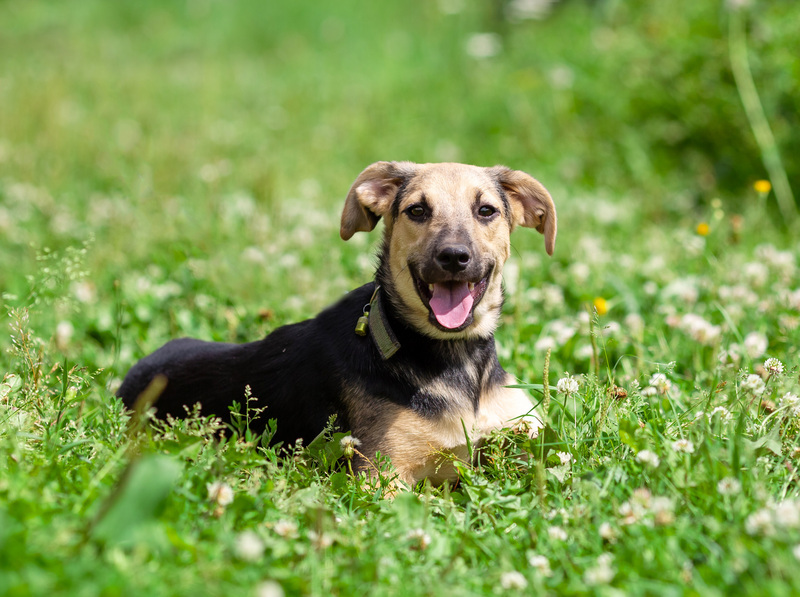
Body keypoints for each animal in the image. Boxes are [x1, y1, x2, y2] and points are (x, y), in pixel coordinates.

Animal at [119, 161, 556, 486]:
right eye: (417, 210)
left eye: (486, 211)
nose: (453, 257)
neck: (456, 360)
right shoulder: (381, 475)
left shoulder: (528, 433)